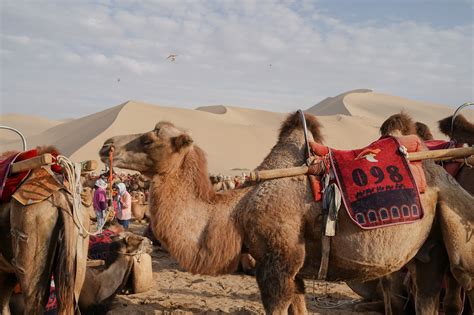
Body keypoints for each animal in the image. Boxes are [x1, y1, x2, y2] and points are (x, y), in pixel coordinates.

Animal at [98, 113, 472, 314]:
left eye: (149, 139)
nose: (105, 146)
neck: (235, 211)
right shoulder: (295, 269)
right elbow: (300, 305)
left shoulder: (276, 263)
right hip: (428, 247)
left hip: (454, 227)